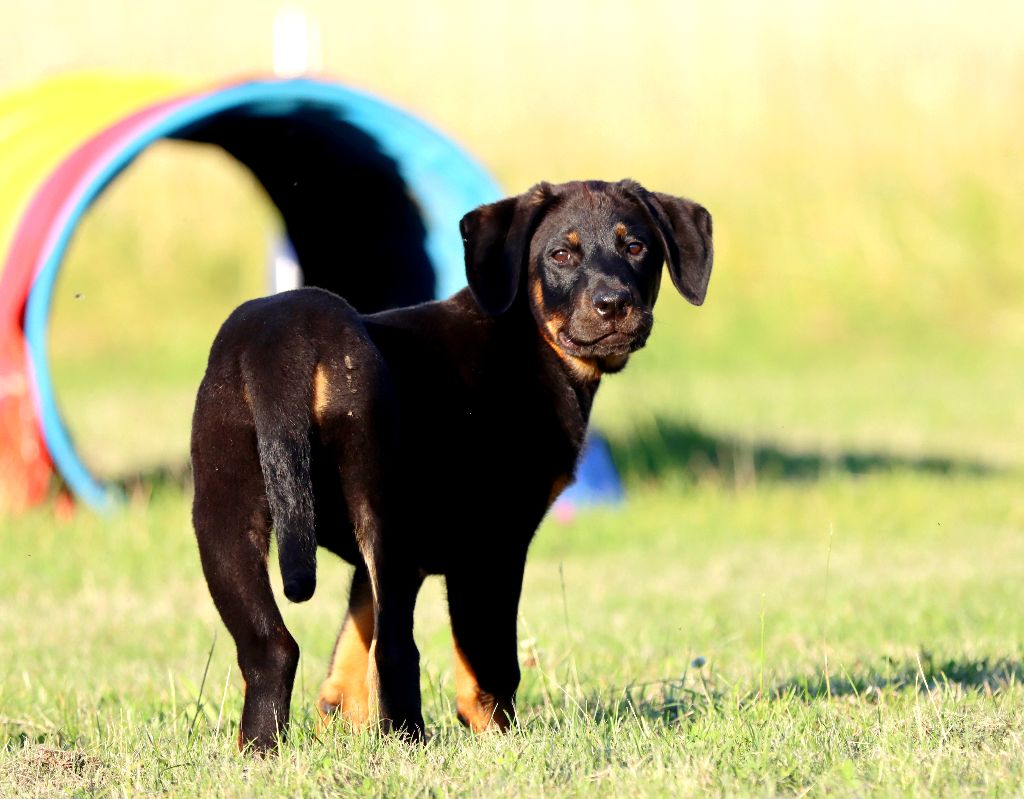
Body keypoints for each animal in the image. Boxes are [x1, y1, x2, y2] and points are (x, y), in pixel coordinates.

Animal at [192, 178, 716, 753]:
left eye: (636, 247)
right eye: (560, 254)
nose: (614, 304)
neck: (530, 341)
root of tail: (286, 343)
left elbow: (351, 643)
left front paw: (343, 719)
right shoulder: (494, 545)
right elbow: (490, 661)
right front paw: (500, 738)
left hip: (224, 514)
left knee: (272, 648)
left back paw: (262, 751)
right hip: (382, 514)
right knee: (396, 649)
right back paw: (411, 740)